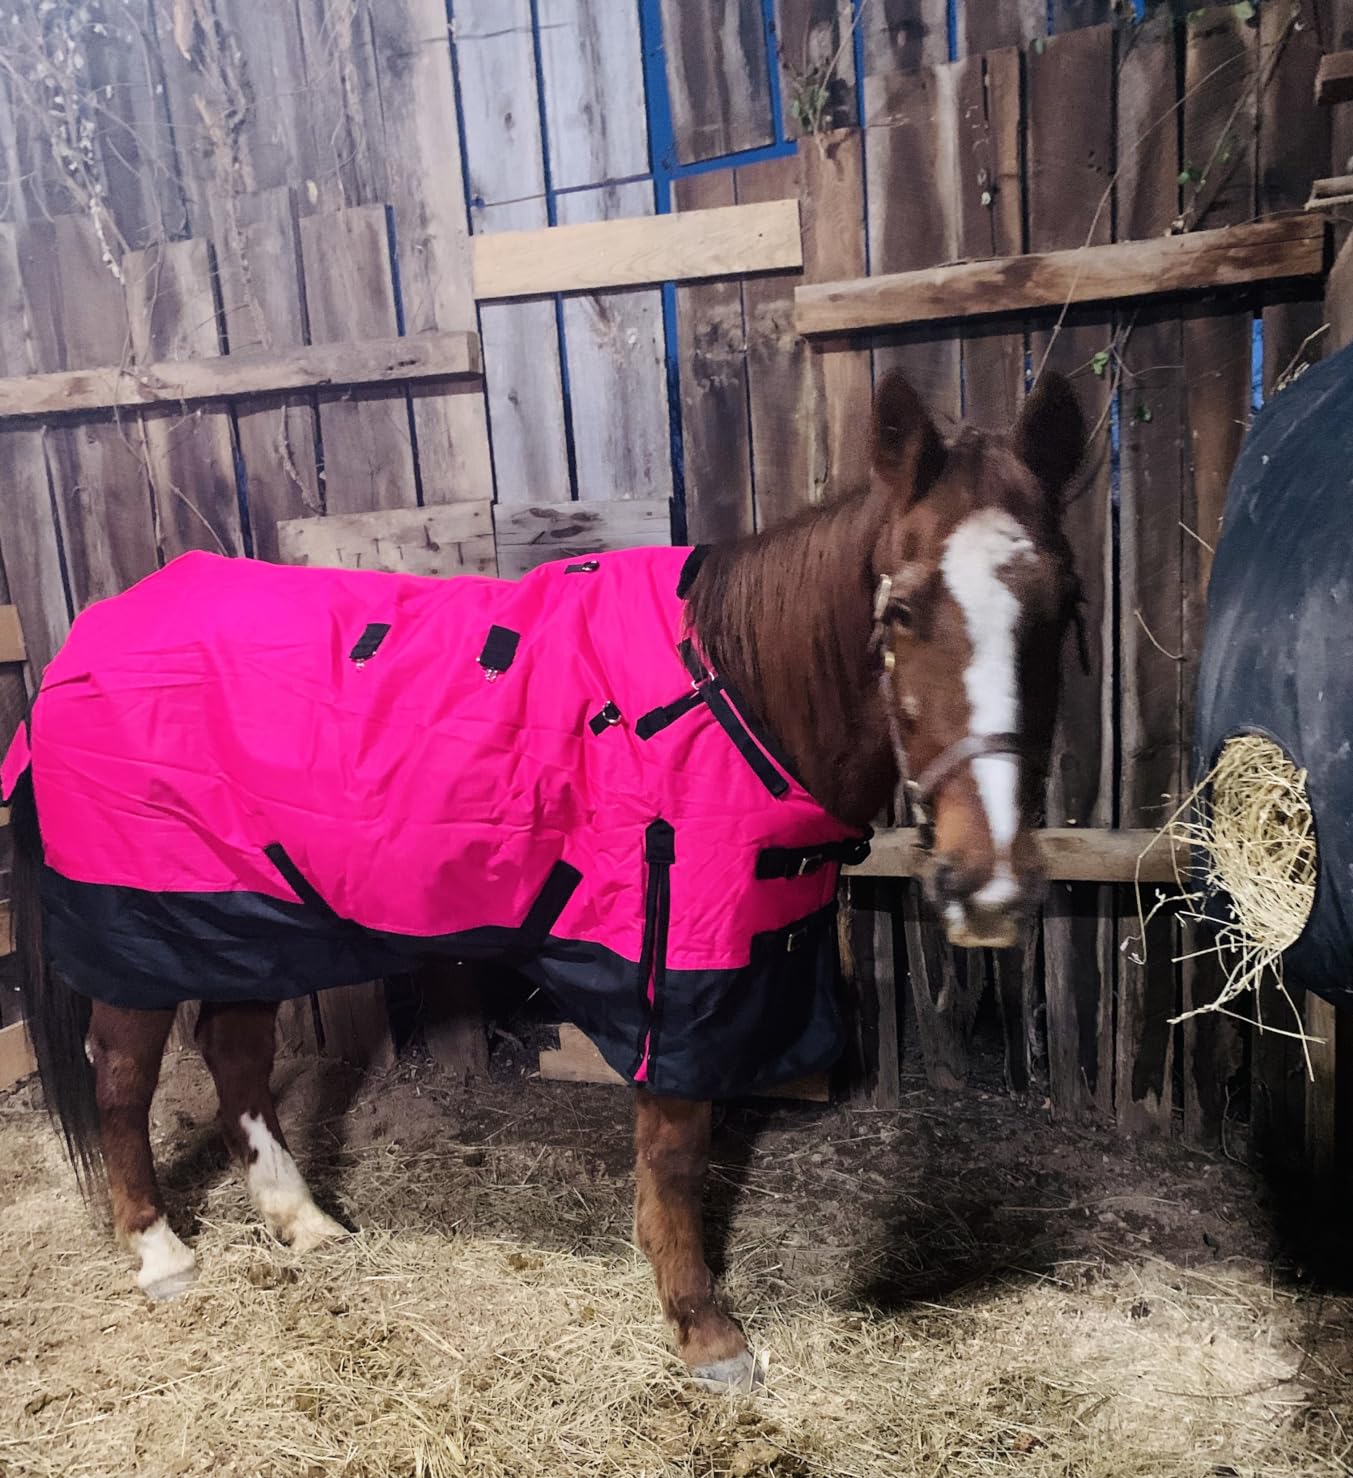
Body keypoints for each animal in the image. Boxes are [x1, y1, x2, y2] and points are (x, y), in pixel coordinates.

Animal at [7, 367, 1085, 1392]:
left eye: (1065, 607)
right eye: (900, 609)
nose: (989, 883)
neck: (724, 688)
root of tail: (80, 645)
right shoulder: (670, 963)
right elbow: (674, 1149)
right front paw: (704, 1329)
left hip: (250, 915)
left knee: (233, 1049)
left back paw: (299, 1218)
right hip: (145, 920)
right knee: (122, 1074)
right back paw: (158, 1249)